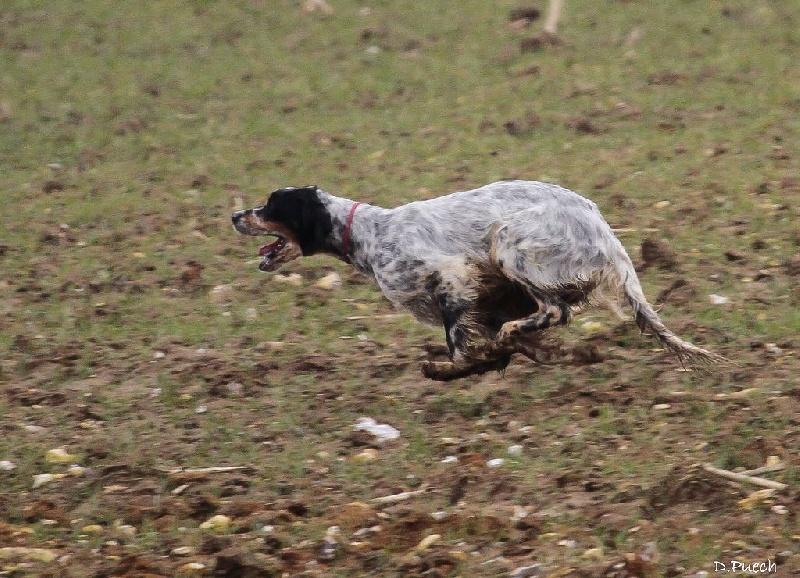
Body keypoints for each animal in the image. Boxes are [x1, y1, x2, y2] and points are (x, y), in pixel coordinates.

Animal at [230, 180, 724, 378]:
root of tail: (603, 229)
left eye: (270, 205)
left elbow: (459, 345)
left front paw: (452, 368)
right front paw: (522, 355)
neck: (370, 234)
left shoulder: (453, 277)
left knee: (554, 309)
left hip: (508, 243)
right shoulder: (483, 298)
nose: (235, 215)